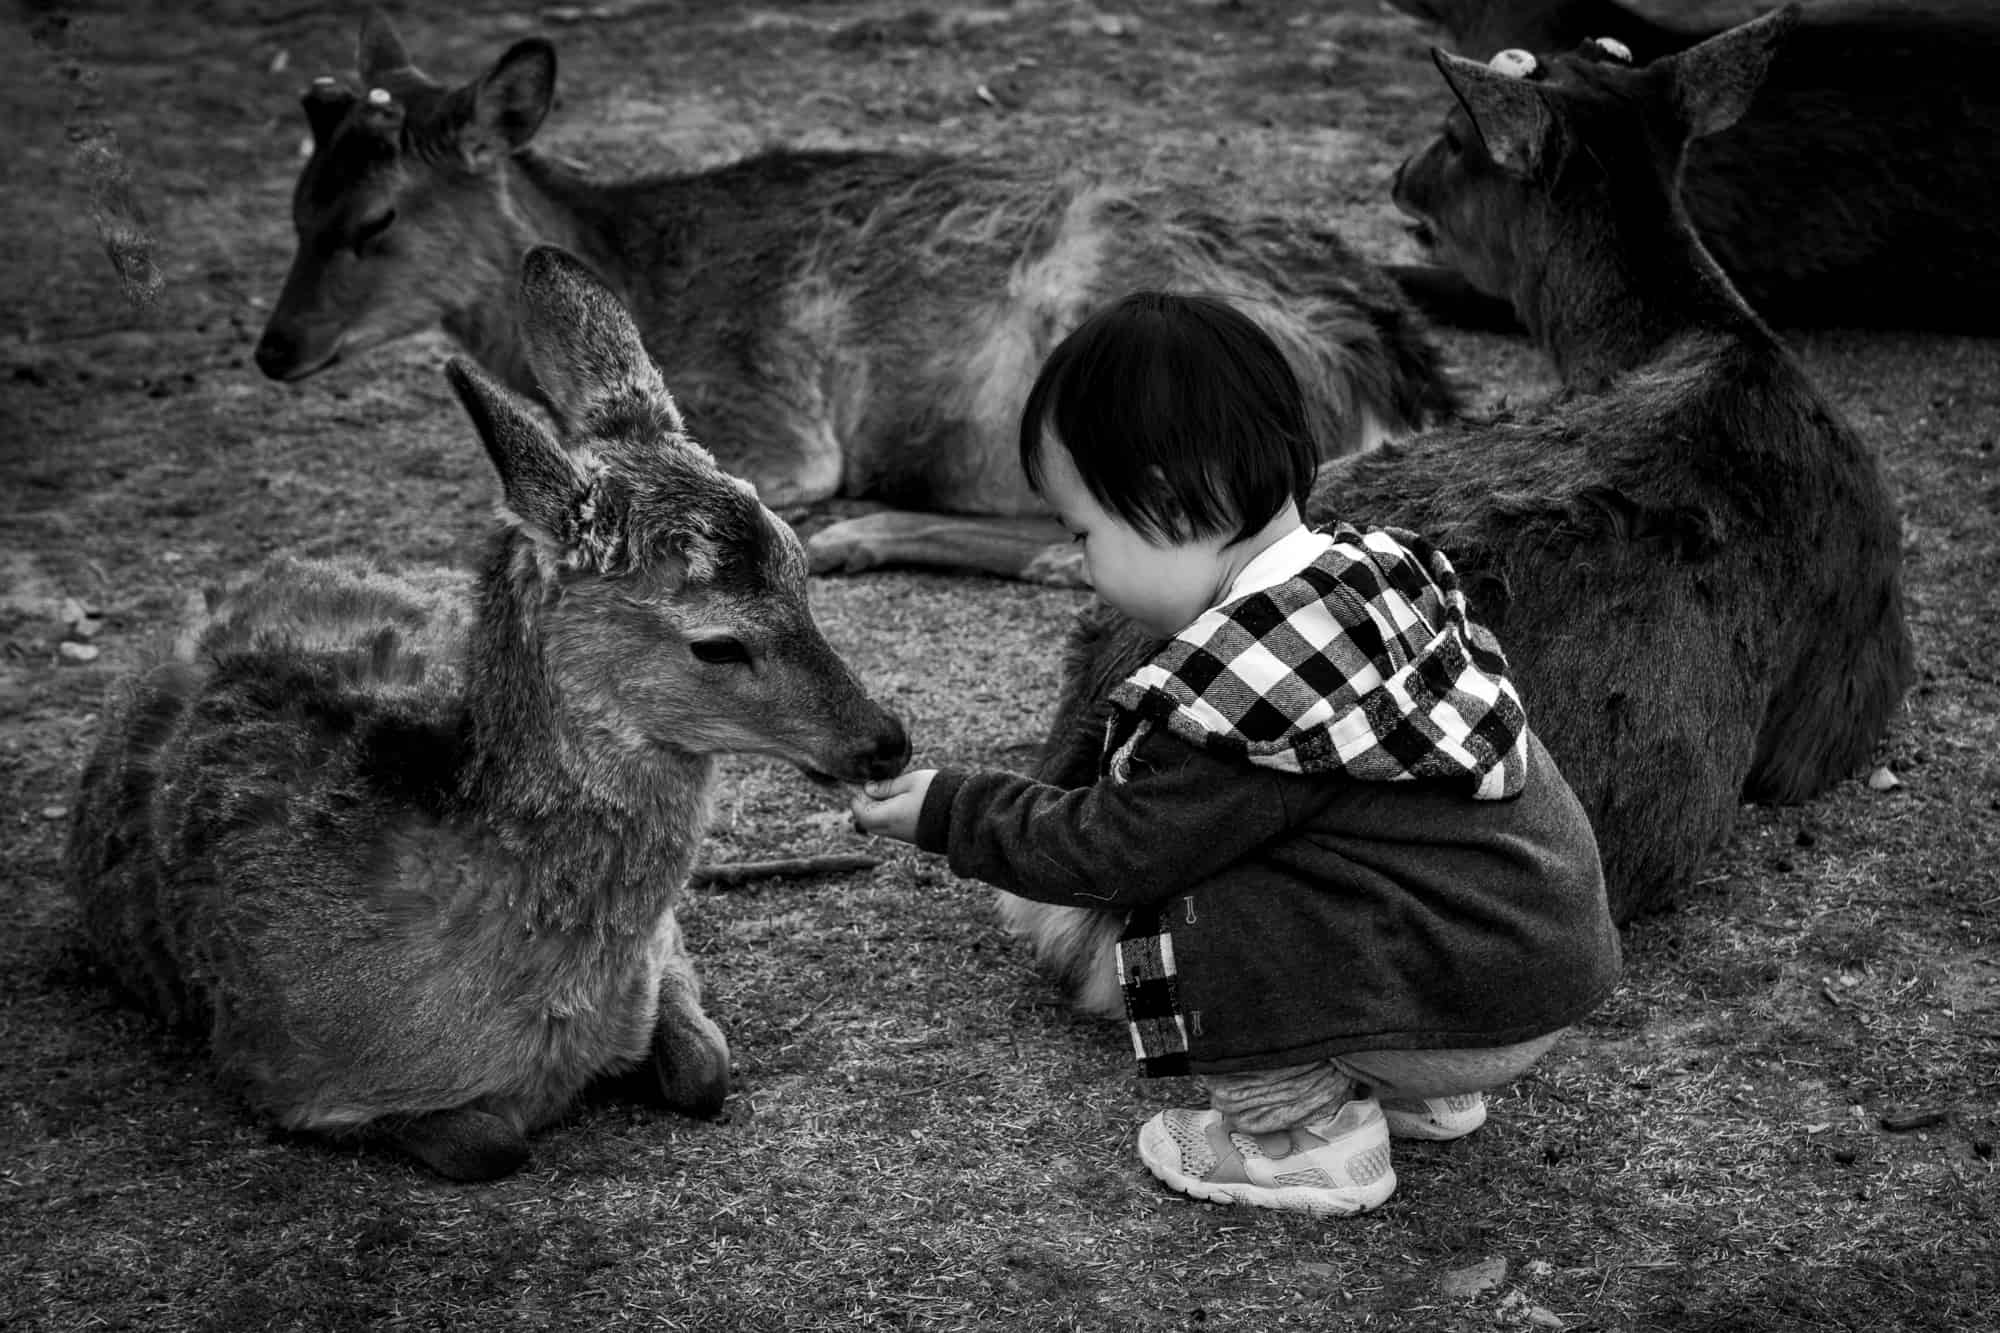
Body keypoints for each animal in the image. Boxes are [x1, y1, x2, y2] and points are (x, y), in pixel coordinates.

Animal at [62, 244, 908, 1176]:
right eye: (716, 643)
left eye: (800, 562)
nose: (887, 740)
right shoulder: (279, 1067)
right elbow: (491, 1142)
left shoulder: (664, 951)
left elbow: (705, 1070)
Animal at [258, 10, 1464, 580]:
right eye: (298, 200)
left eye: (376, 221)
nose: (274, 350)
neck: (630, 261)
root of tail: (1396, 371)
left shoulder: (773, 424)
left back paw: (864, 532)